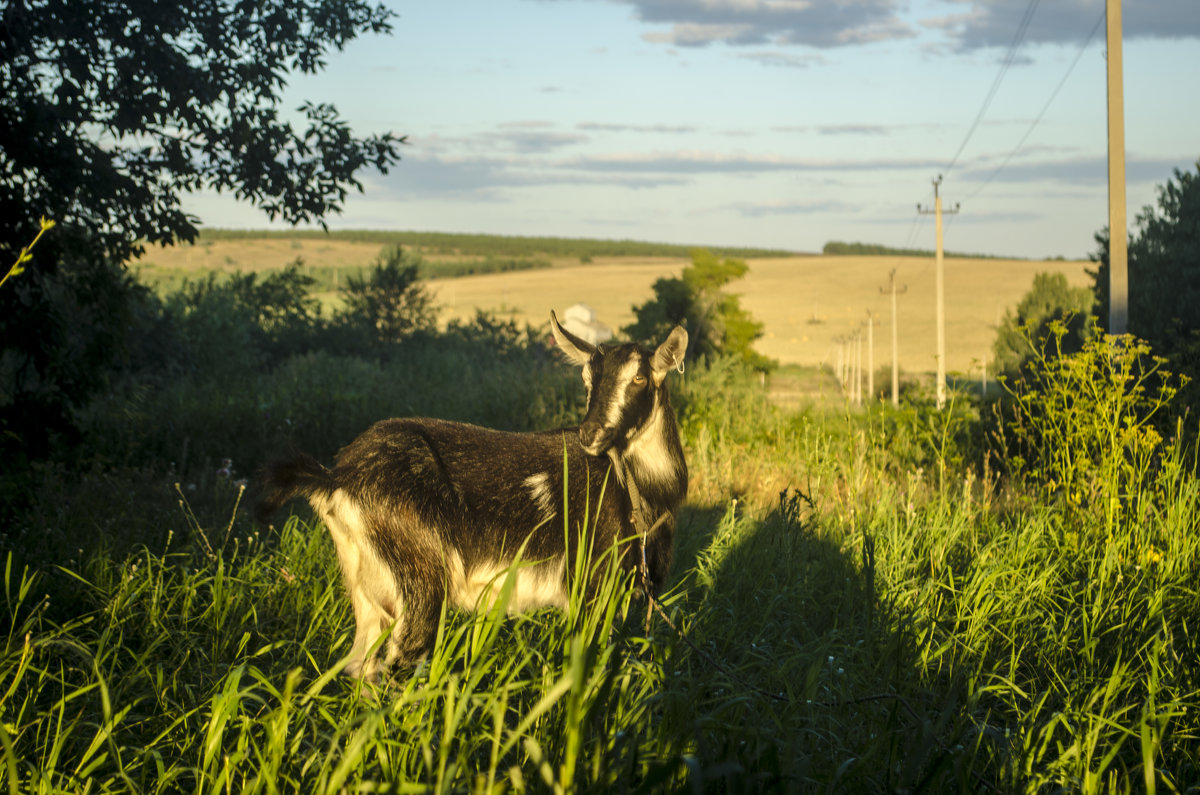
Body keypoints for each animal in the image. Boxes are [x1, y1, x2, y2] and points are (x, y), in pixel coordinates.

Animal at [255, 309, 686, 677]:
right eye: (585, 381)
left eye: (639, 379)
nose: (590, 434)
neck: (637, 490)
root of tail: (337, 477)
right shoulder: (591, 584)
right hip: (418, 578)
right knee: (397, 665)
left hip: (367, 585)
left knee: (361, 665)